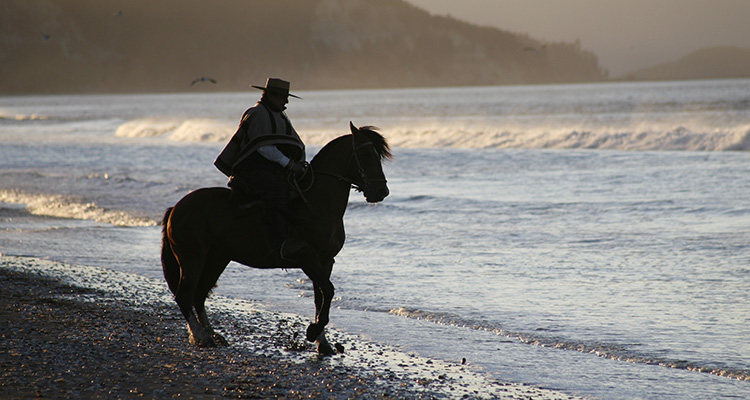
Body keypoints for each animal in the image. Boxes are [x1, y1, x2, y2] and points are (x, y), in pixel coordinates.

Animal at [160, 122, 394, 354]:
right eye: (366, 154)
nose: (381, 190)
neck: (315, 204)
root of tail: (176, 208)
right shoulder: (305, 256)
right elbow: (328, 290)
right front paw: (313, 331)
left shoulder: (326, 261)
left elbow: (320, 297)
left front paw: (323, 342)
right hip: (193, 258)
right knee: (185, 295)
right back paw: (201, 336)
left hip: (217, 258)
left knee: (199, 294)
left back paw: (212, 334)